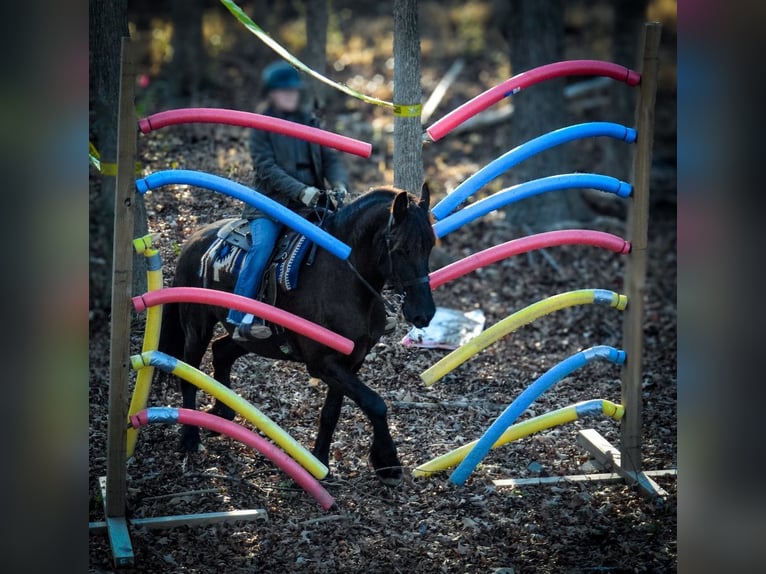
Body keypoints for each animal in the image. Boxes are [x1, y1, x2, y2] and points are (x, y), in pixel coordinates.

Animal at [157, 185, 437, 485]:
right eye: (401, 249)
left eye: (430, 246)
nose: (424, 313)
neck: (344, 280)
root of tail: (193, 240)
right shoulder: (322, 363)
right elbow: (375, 403)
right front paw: (388, 463)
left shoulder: (351, 361)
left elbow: (332, 412)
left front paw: (321, 461)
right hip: (197, 325)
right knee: (188, 371)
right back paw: (190, 438)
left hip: (253, 340)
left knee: (221, 352)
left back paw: (224, 411)